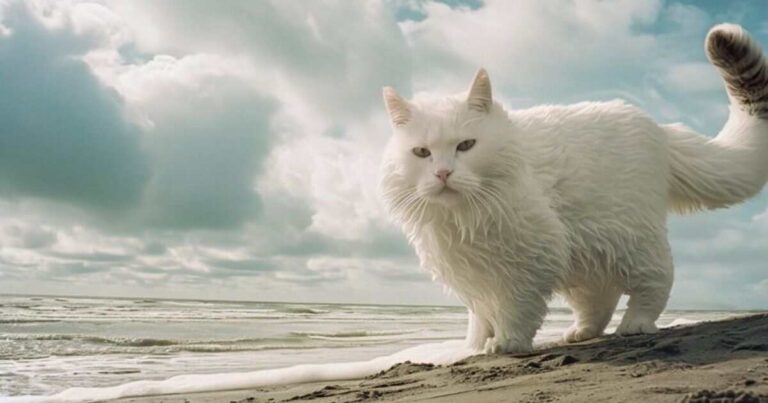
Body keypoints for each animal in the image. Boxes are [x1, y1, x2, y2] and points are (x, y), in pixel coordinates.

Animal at [378, 23, 768, 356]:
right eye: (422, 153)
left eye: (466, 145)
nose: (443, 173)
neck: (460, 219)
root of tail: (659, 130)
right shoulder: (474, 271)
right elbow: (480, 314)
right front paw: (472, 347)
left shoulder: (530, 257)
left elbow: (515, 308)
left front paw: (507, 343)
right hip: (586, 254)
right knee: (599, 300)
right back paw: (583, 332)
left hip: (632, 240)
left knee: (658, 279)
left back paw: (636, 323)